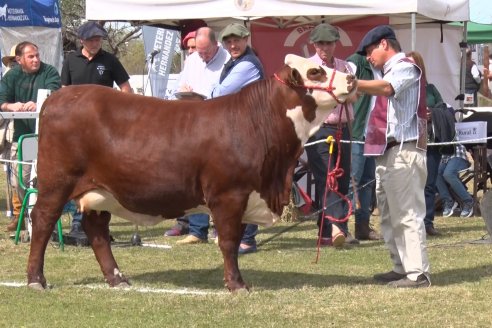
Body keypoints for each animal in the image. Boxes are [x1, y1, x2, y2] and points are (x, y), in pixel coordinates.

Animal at [26, 54, 356, 292]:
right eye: (315, 71)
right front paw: (237, 284)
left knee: (96, 231)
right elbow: (228, 242)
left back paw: (117, 278)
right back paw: (36, 280)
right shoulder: (228, 195)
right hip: (57, 182)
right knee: (42, 221)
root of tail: (59, 96)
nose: (352, 77)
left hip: (100, 191)